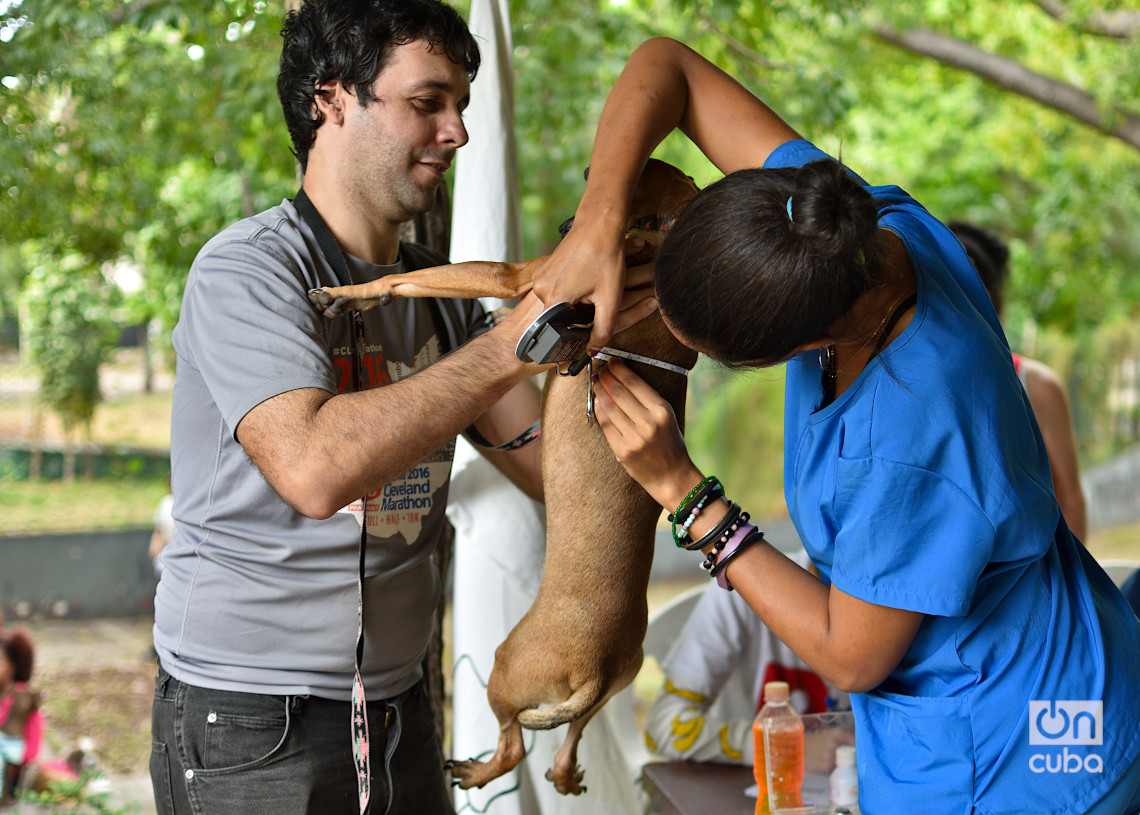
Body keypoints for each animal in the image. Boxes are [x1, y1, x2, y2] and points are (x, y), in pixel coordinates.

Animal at [310, 157, 693, 788]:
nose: (566, 227)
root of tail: (597, 665)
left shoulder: (518, 276)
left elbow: (413, 277)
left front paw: (346, 296)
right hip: (607, 694)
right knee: (566, 748)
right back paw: (566, 777)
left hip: (503, 668)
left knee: (514, 746)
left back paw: (473, 772)